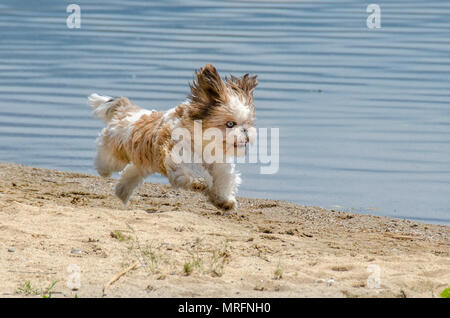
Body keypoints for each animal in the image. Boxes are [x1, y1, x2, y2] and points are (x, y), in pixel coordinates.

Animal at [88, 63, 256, 210]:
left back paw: (122, 193)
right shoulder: (179, 152)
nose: (245, 132)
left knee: (131, 171)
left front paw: (224, 200)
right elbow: (193, 168)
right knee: (107, 158)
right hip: (116, 149)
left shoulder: (219, 164)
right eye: (230, 124)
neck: (204, 142)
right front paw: (200, 181)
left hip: (143, 161)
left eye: (248, 122)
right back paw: (103, 170)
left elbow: (224, 179)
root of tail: (128, 111)